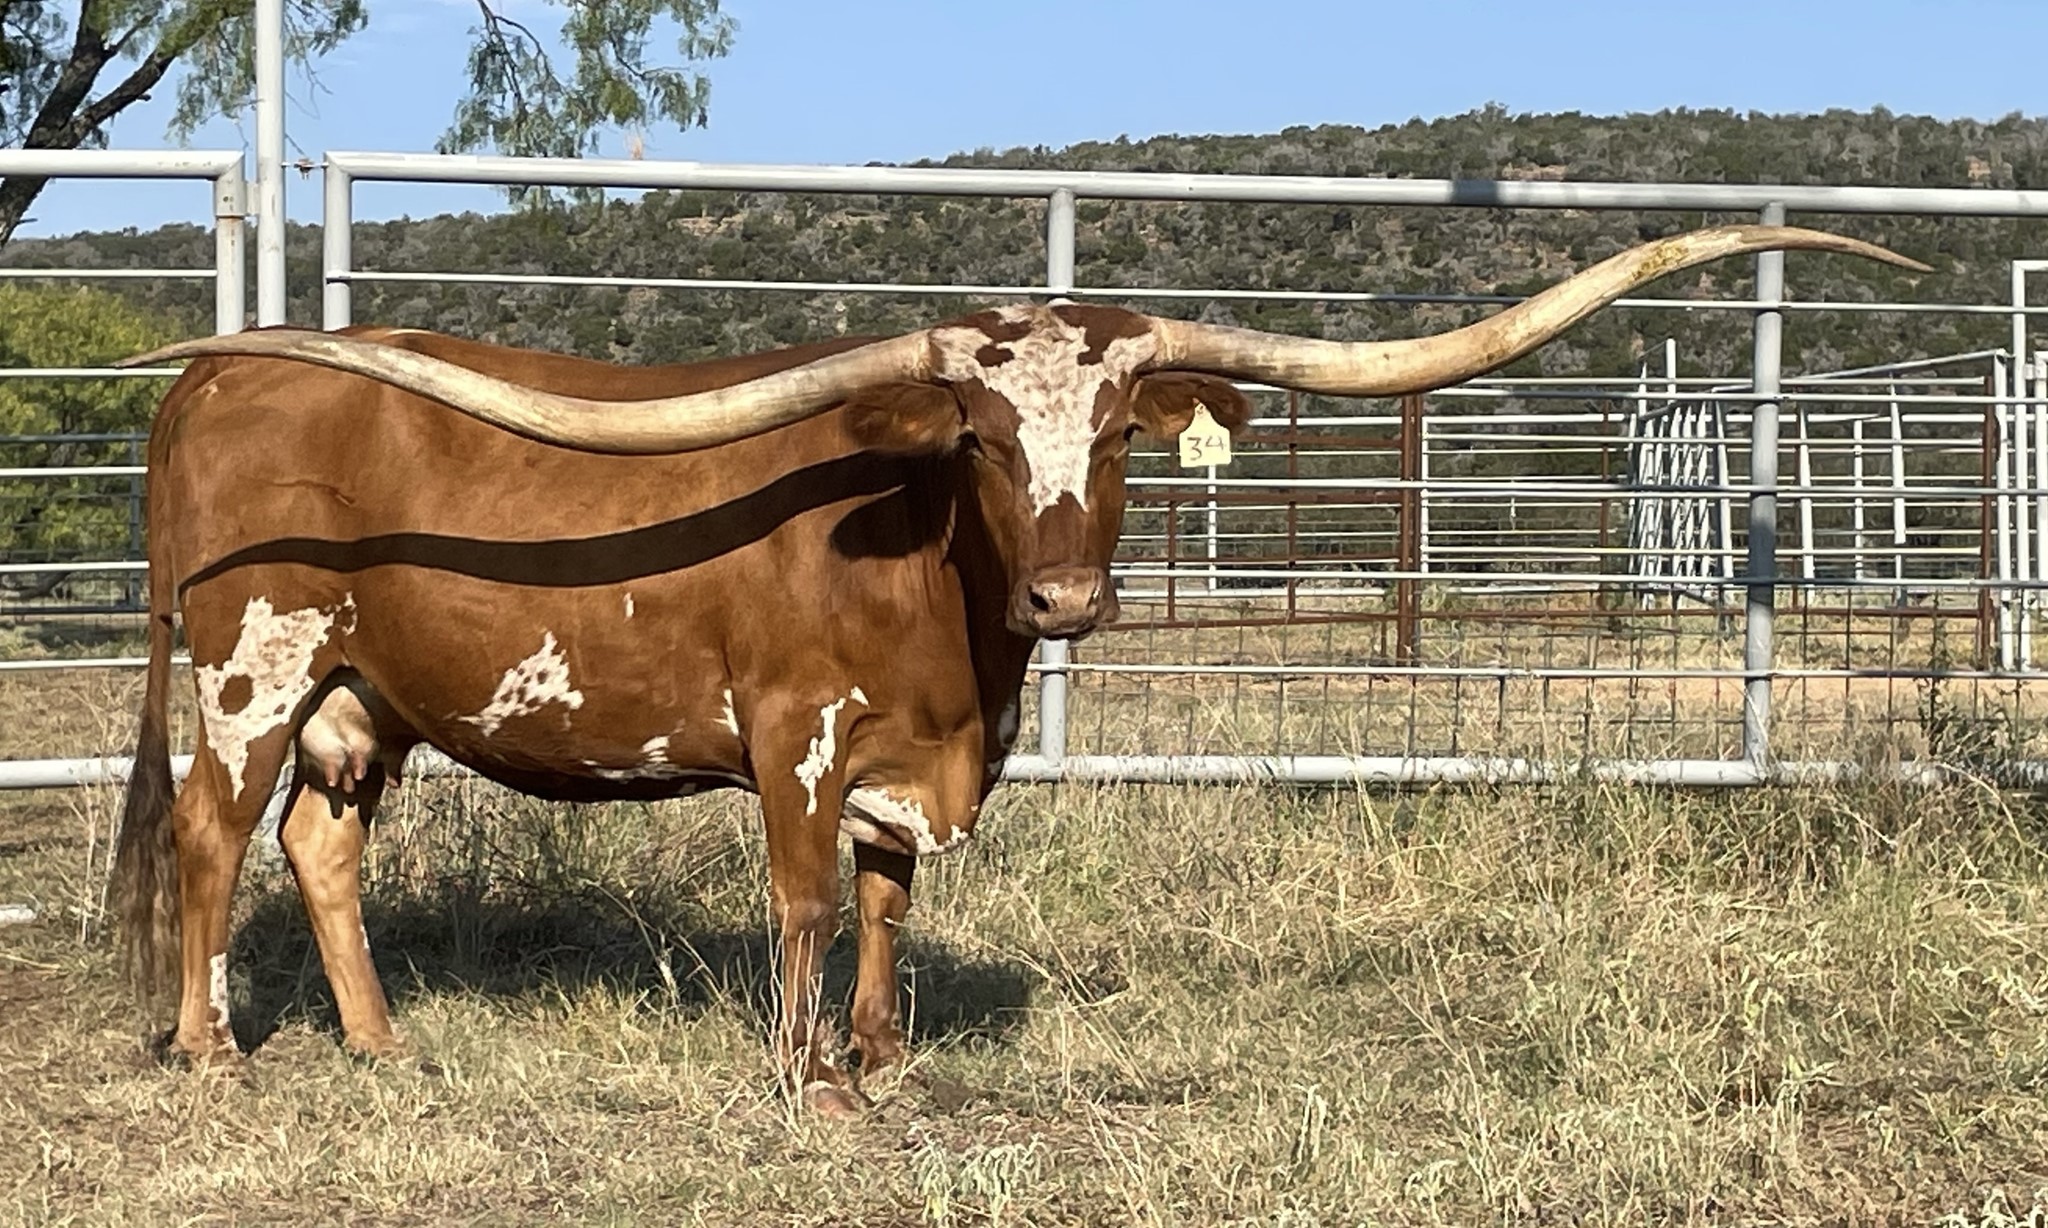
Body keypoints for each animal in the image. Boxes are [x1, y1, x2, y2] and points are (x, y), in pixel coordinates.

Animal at [109, 226, 1922, 1115]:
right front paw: (807, 1081)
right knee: (209, 835)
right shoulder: (793, 734)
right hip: (251, 660)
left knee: (319, 842)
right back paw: (206, 1048)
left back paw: (378, 1043)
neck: (935, 601)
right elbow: (804, 901)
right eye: (978, 433)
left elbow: (890, 905)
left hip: (365, 694)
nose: (1064, 591)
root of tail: (217, 371)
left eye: (1117, 432)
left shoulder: (913, 760)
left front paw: (882, 1055)